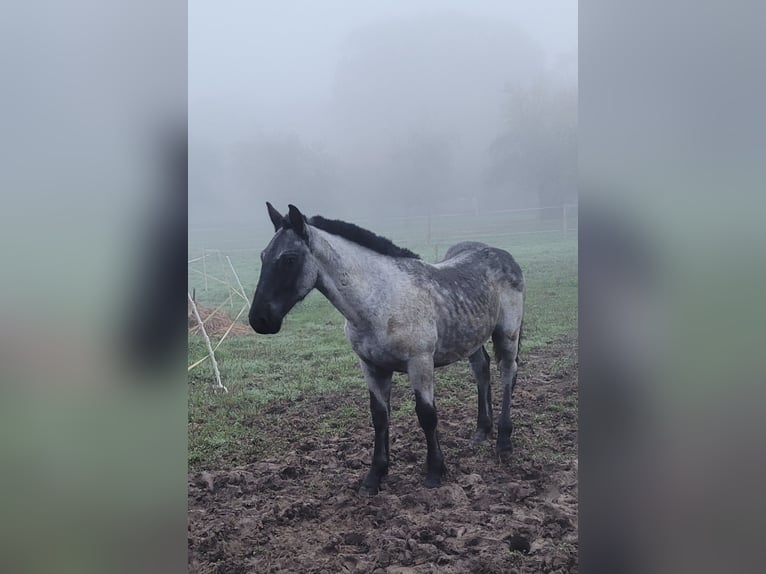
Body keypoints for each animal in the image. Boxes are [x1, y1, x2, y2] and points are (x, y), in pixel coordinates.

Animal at [249, 205, 524, 498]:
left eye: (289, 259)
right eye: (263, 256)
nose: (259, 320)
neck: (380, 300)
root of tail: (501, 254)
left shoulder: (420, 362)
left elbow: (427, 415)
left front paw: (434, 472)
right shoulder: (372, 366)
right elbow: (380, 417)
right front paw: (374, 477)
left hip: (507, 334)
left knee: (508, 374)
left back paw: (504, 442)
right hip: (472, 338)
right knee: (482, 371)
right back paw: (481, 432)